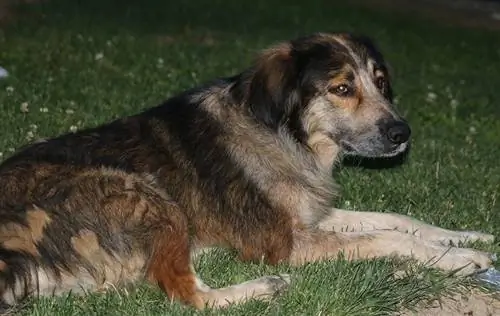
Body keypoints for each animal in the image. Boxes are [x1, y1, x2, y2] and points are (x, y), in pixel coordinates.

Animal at [0, 32, 494, 312]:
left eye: (381, 82)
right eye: (341, 88)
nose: (401, 132)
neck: (284, 134)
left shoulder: (308, 215)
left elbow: (398, 220)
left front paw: (463, 236)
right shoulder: (284, 242)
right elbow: (385, 237)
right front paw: (457, 259)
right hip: (147, 195)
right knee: (185, 296)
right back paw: (265, 287)